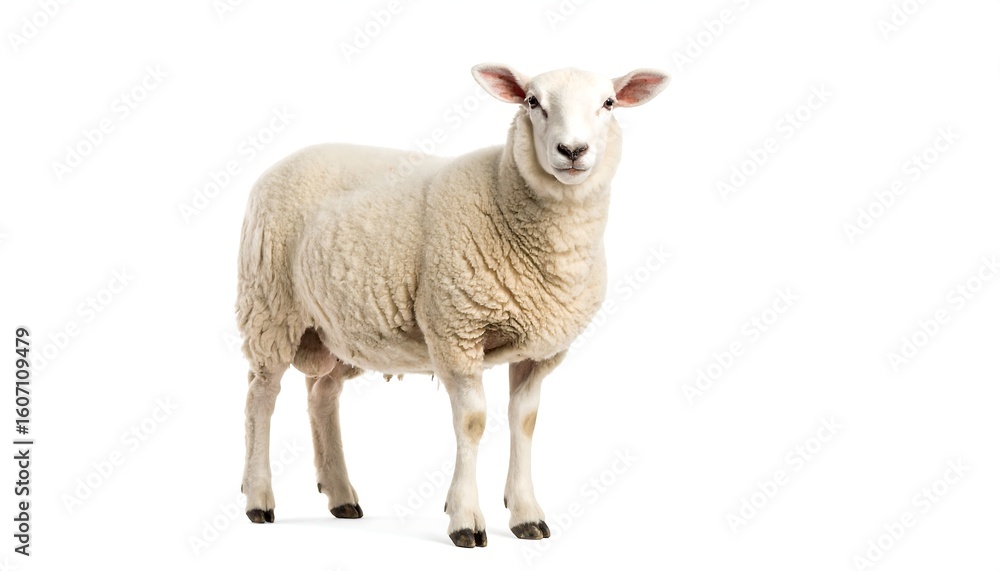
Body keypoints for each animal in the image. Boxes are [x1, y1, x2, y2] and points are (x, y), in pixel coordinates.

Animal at [236, 63, 670, 547]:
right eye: (532, 102)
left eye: (608, 103)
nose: (572, 150)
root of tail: (281, 164)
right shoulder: (455, 331)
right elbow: (473, 422)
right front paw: (465, 518)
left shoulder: (541, 351)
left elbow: (524, 421)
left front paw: (526, 515)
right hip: (269, 307)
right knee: (261, 397)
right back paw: (258, 497)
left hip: (342, 329)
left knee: (323, 396)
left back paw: (341, 494)